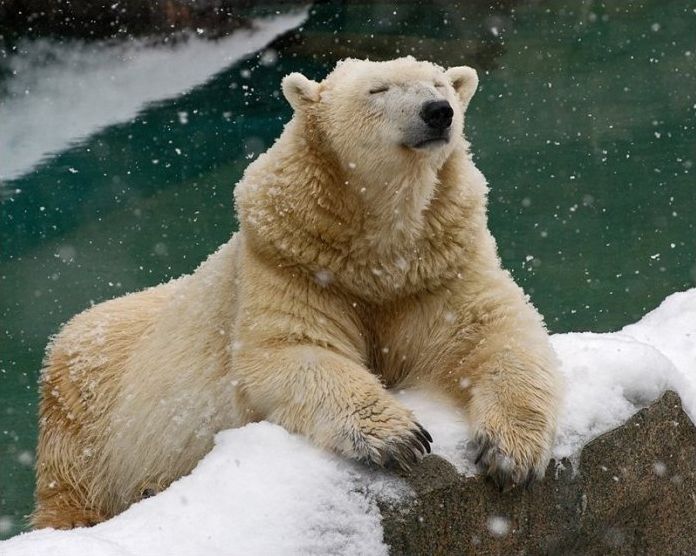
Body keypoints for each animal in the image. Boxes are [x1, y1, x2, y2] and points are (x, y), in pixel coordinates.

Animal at [34, 57, 560, 528]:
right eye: (379, 89)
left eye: (440, 84)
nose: (438, 112)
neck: (378, 254)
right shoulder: (292, 265)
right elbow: (293, 350)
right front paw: (400, 437)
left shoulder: (438, 267)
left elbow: (495, 333)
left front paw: (511, 453)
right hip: (83, 413)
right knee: (69, 489)